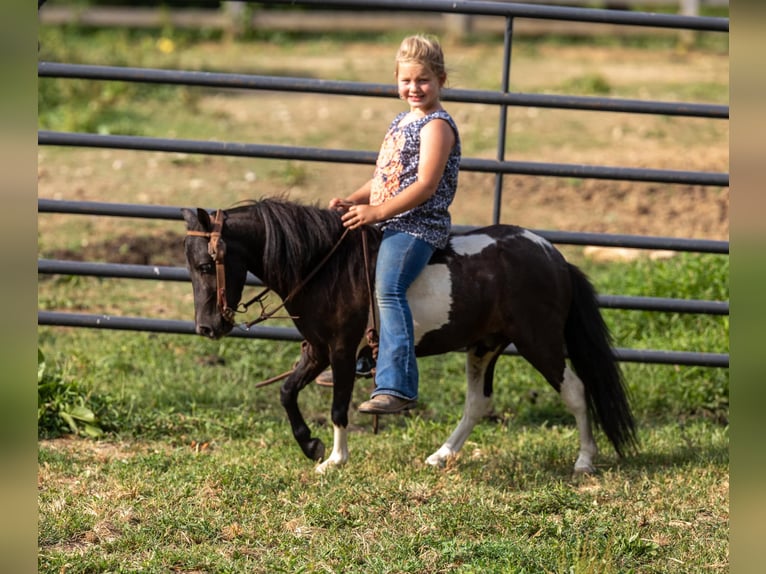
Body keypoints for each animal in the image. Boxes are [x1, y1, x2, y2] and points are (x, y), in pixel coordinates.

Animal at [183, 198, 640, 476]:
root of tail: (554, 256)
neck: (325, 267)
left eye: (206, 265)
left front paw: (334, 459)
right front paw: (311, 446)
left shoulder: (342, 350)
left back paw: (584, 460)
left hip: (538, 341)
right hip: (484, 346)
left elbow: (338, 407)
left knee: (576, 392)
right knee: (477, 403)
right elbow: (287, 393)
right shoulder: (317, 350)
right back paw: (440, 456)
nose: (206, 327)